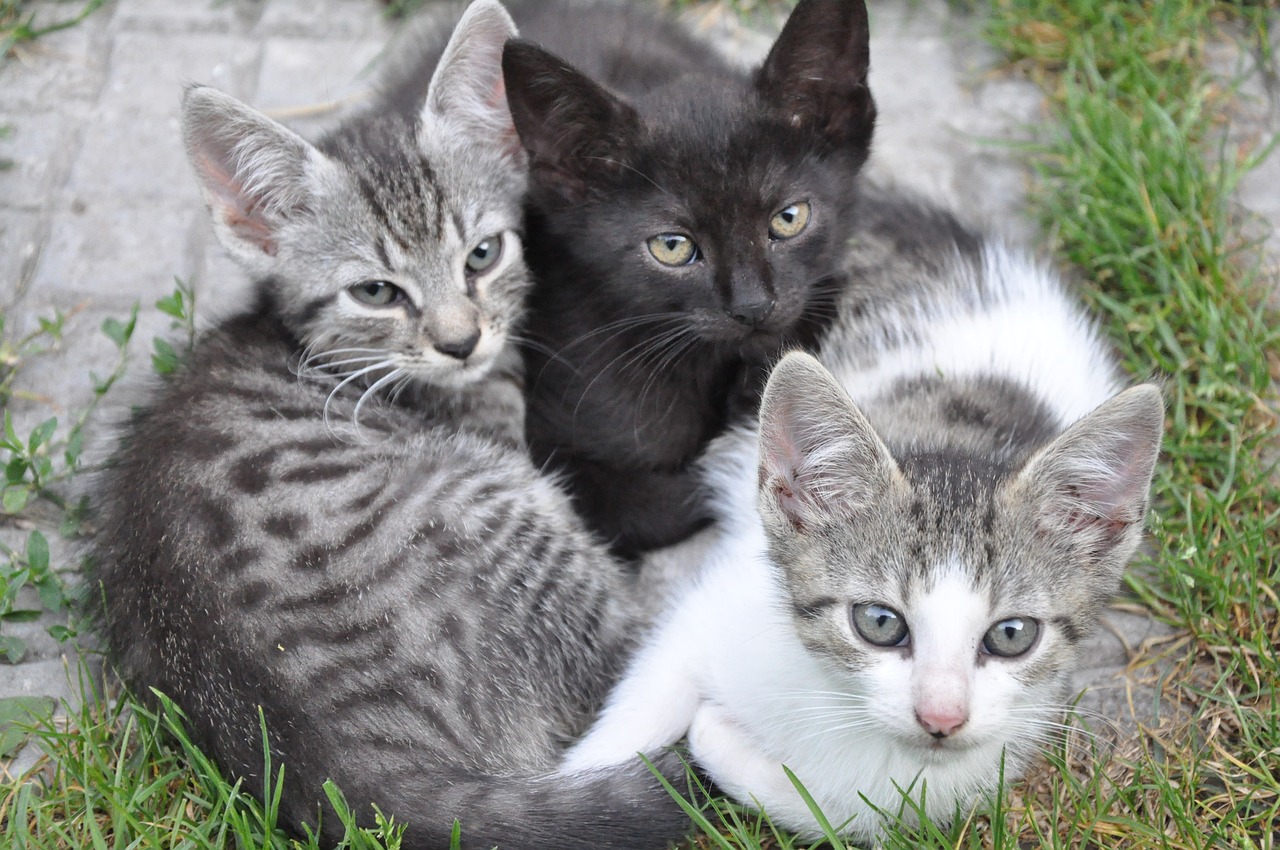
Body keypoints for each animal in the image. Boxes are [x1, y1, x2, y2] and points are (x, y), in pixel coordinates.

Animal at [555, 194, 1167, 844]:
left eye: (1011, 635)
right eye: (879, 622)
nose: (941, 716)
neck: (839, 705)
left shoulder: (955, 776)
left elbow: (843, 807)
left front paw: (717, 738)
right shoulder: (715, 604)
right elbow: (644, 703)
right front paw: (583, 789)